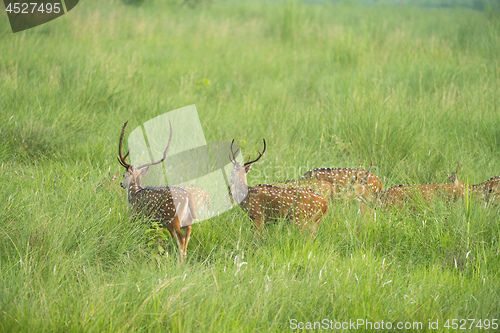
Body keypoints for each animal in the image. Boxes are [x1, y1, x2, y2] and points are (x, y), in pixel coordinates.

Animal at [116, 120, 196, 260]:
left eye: (124, 175)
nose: (121, 183)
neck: (134, 194)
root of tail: (188, 197)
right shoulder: (155, 223)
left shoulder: (136, 215)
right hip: (187, 220)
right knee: (187, 237)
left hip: (172, 219)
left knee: (181, 240)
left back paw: (179, 262)